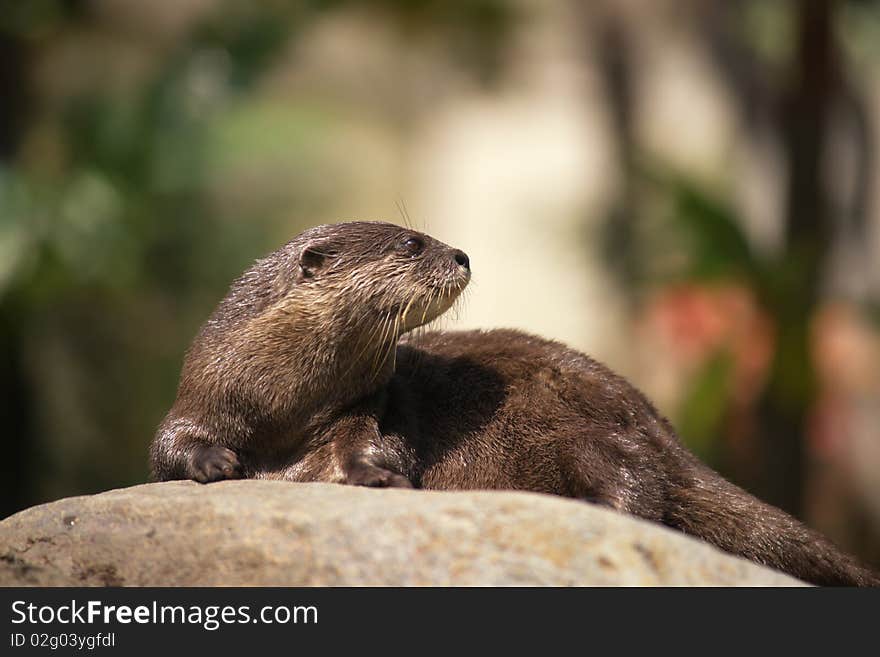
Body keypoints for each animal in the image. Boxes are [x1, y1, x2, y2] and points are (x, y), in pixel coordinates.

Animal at [153, 220, 880, 584]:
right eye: (412, 242)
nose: (461, 253)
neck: (282, 403)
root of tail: (658, 421)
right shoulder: (201, 391)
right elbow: (168, 445)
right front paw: (215, 462)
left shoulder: (369, 406)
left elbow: (372, 445)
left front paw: (378, 473)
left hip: (587, 431)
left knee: (637, 486)